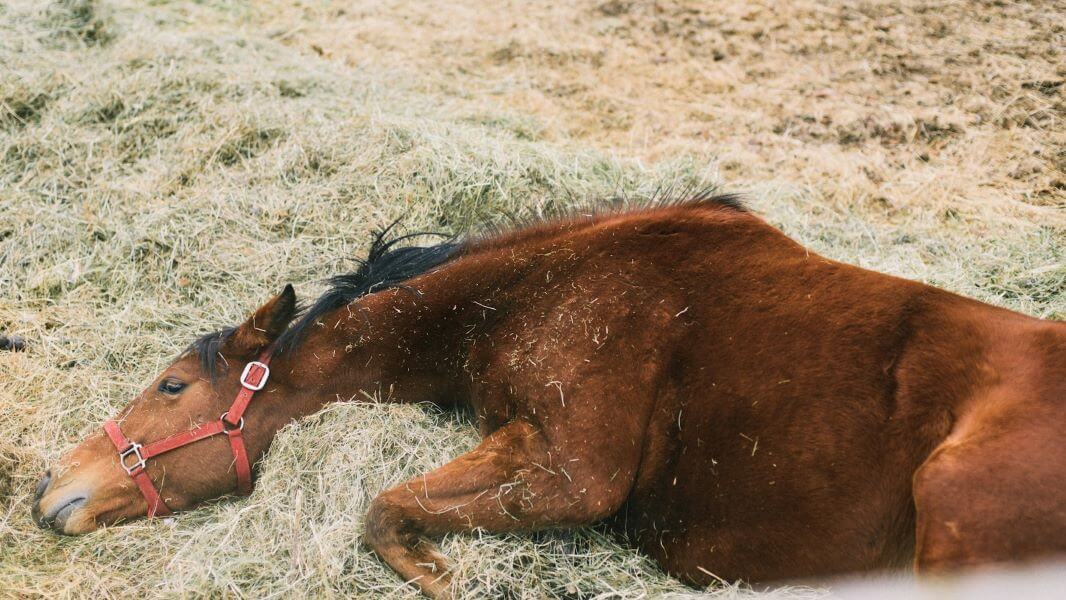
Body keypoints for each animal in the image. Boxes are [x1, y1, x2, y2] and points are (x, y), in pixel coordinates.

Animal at [29, 196, 1061, 596]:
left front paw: (441, 577)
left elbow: (382, 512)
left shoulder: (574, 469)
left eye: (171, 384)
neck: (543, 290)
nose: (46, 489)